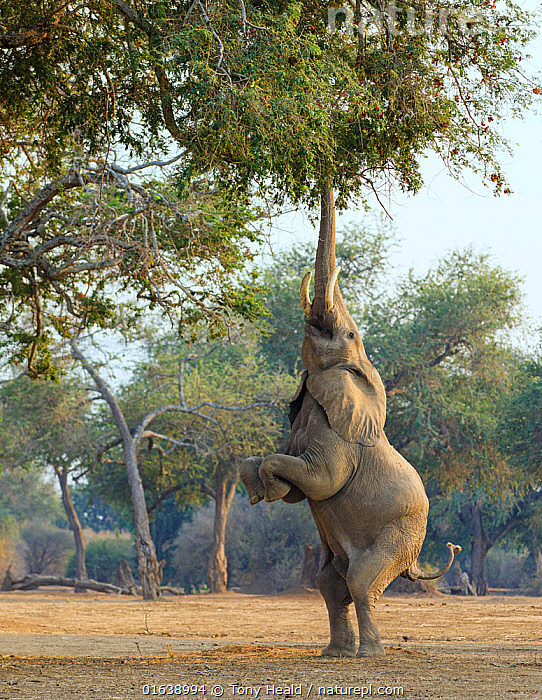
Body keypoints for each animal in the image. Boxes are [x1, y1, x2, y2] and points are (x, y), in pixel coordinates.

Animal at [242, 186, 460, 656]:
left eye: (350, 335)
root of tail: (415, 560)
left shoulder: (339, 438)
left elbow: (322, 480)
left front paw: (269, 488)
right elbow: (289, 482)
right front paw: (259, 491)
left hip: (398, 536)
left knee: (361, 582)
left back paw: (370, 654)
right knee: (330, 583)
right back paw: (336, 653)